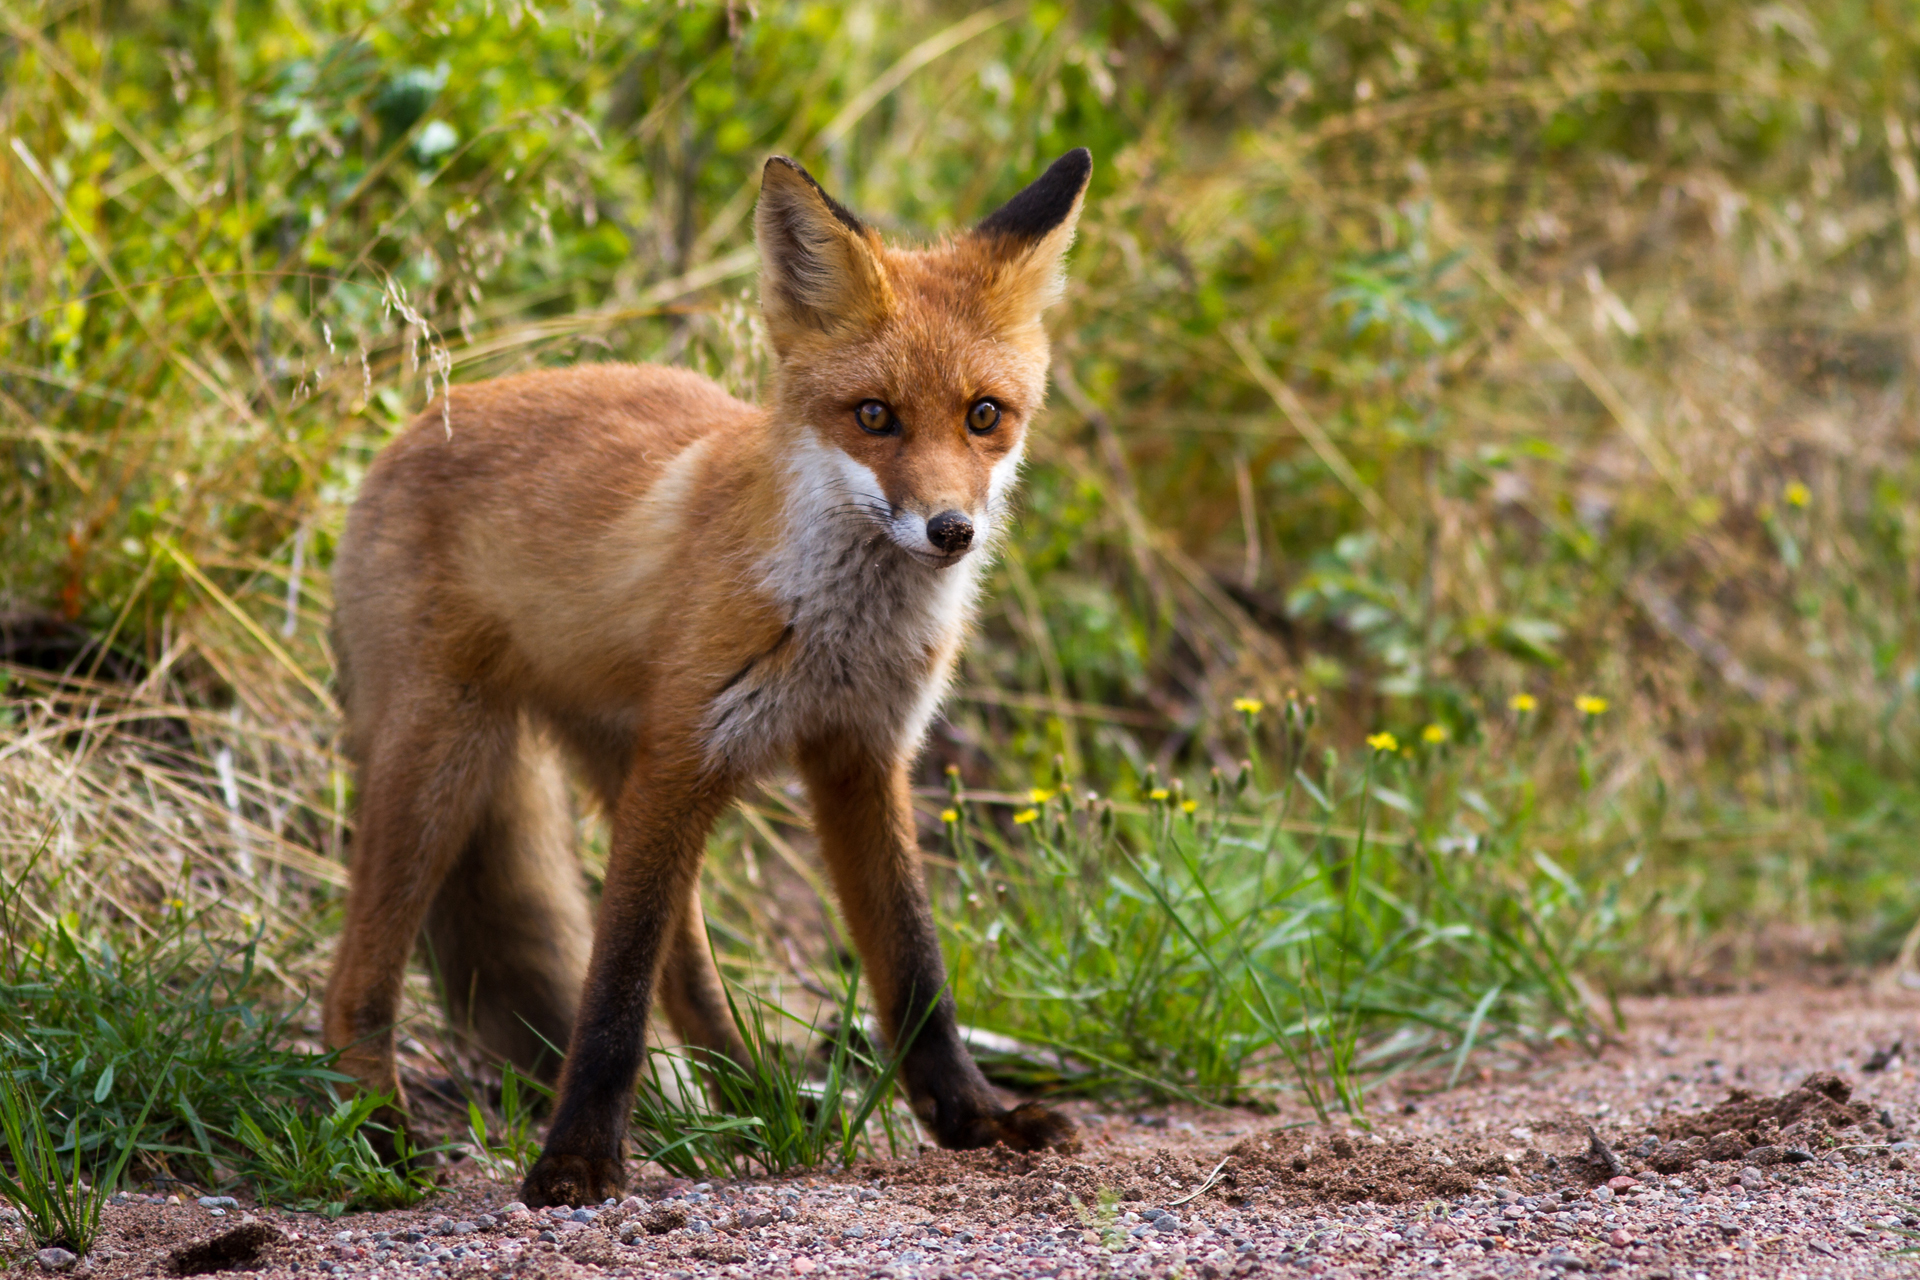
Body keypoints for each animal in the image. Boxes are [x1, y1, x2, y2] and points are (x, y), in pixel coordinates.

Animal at [322, 144, 1090, 1205]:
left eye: (985, 416)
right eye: (874, 417)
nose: (951, 530)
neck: (838, 632)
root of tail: (403, 432)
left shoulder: (860, 757)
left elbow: (915, 970)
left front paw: (975, 1117)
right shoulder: (690, 751)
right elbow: (612, 987)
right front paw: (575, 1161)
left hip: (614, 764)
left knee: (684, 968)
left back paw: (756, 1102)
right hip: (450, 762)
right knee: (359, 965)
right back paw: (373, 1125)